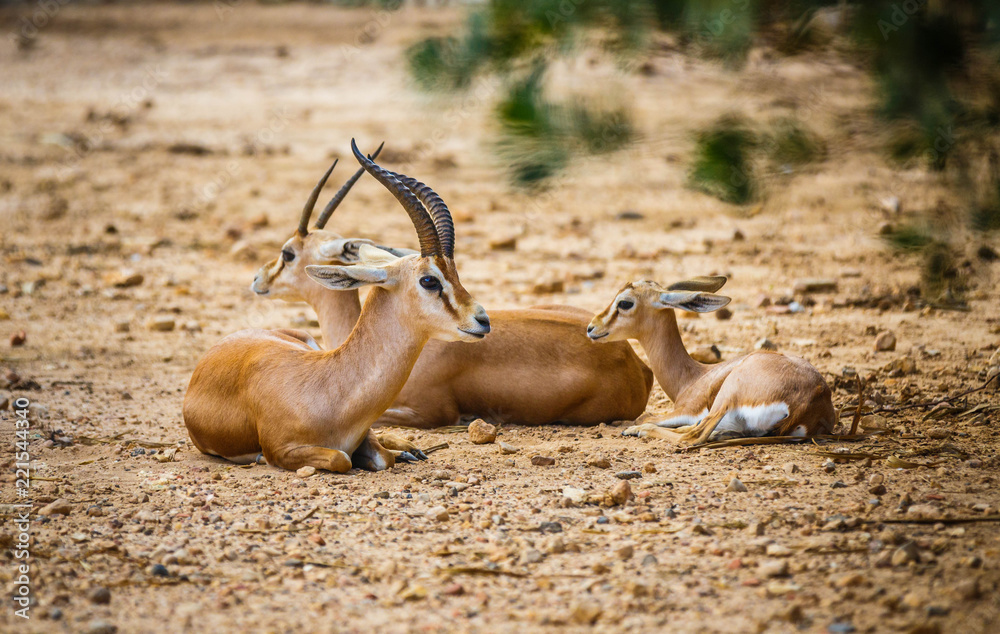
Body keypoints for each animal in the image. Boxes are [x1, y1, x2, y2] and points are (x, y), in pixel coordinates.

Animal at [185, 143, 492, 470]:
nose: (482, 320)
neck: (330, 391)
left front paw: (399, 450)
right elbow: (342, 458)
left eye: (455, 274)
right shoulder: (281, 450)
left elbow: (380, 456)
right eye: (429, 280)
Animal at [584, 276, 836, 444]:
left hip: (727, 394)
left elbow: (645, 416)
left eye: (625, 303)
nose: (591, 328)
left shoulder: (686, 410)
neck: (692, 378)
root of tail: (811, 397)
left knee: (694, 435)